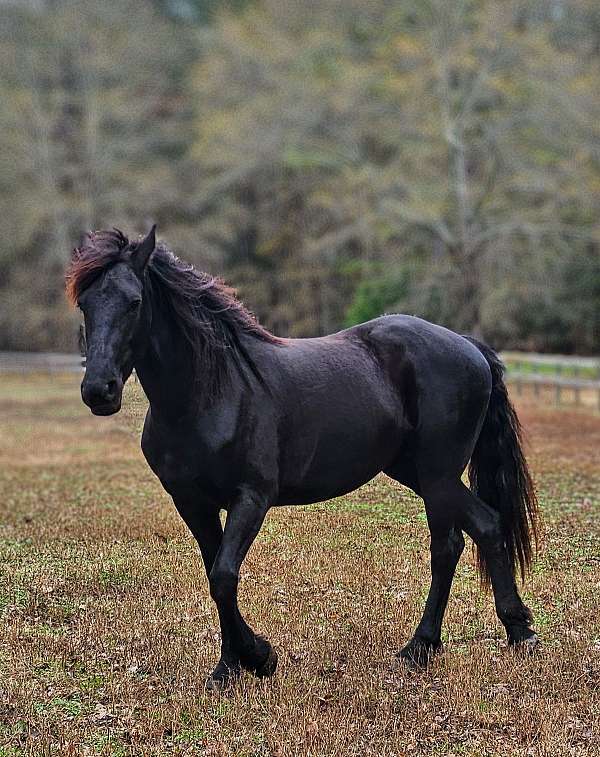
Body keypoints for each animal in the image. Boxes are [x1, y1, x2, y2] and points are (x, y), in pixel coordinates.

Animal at [65, 226, 540, 692]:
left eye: (134, 302)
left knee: (456, 540)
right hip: (419, 472)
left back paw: (440, 645)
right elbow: (215, 575)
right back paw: (495, 636)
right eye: (85, 303)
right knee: (477, 529)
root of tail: (468, 346)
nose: (99, 391)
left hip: (438, 473)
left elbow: (224, 576)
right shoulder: (193, 503)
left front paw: (259, 658)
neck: (211, 393)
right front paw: (230, 668)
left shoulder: (251, 498)